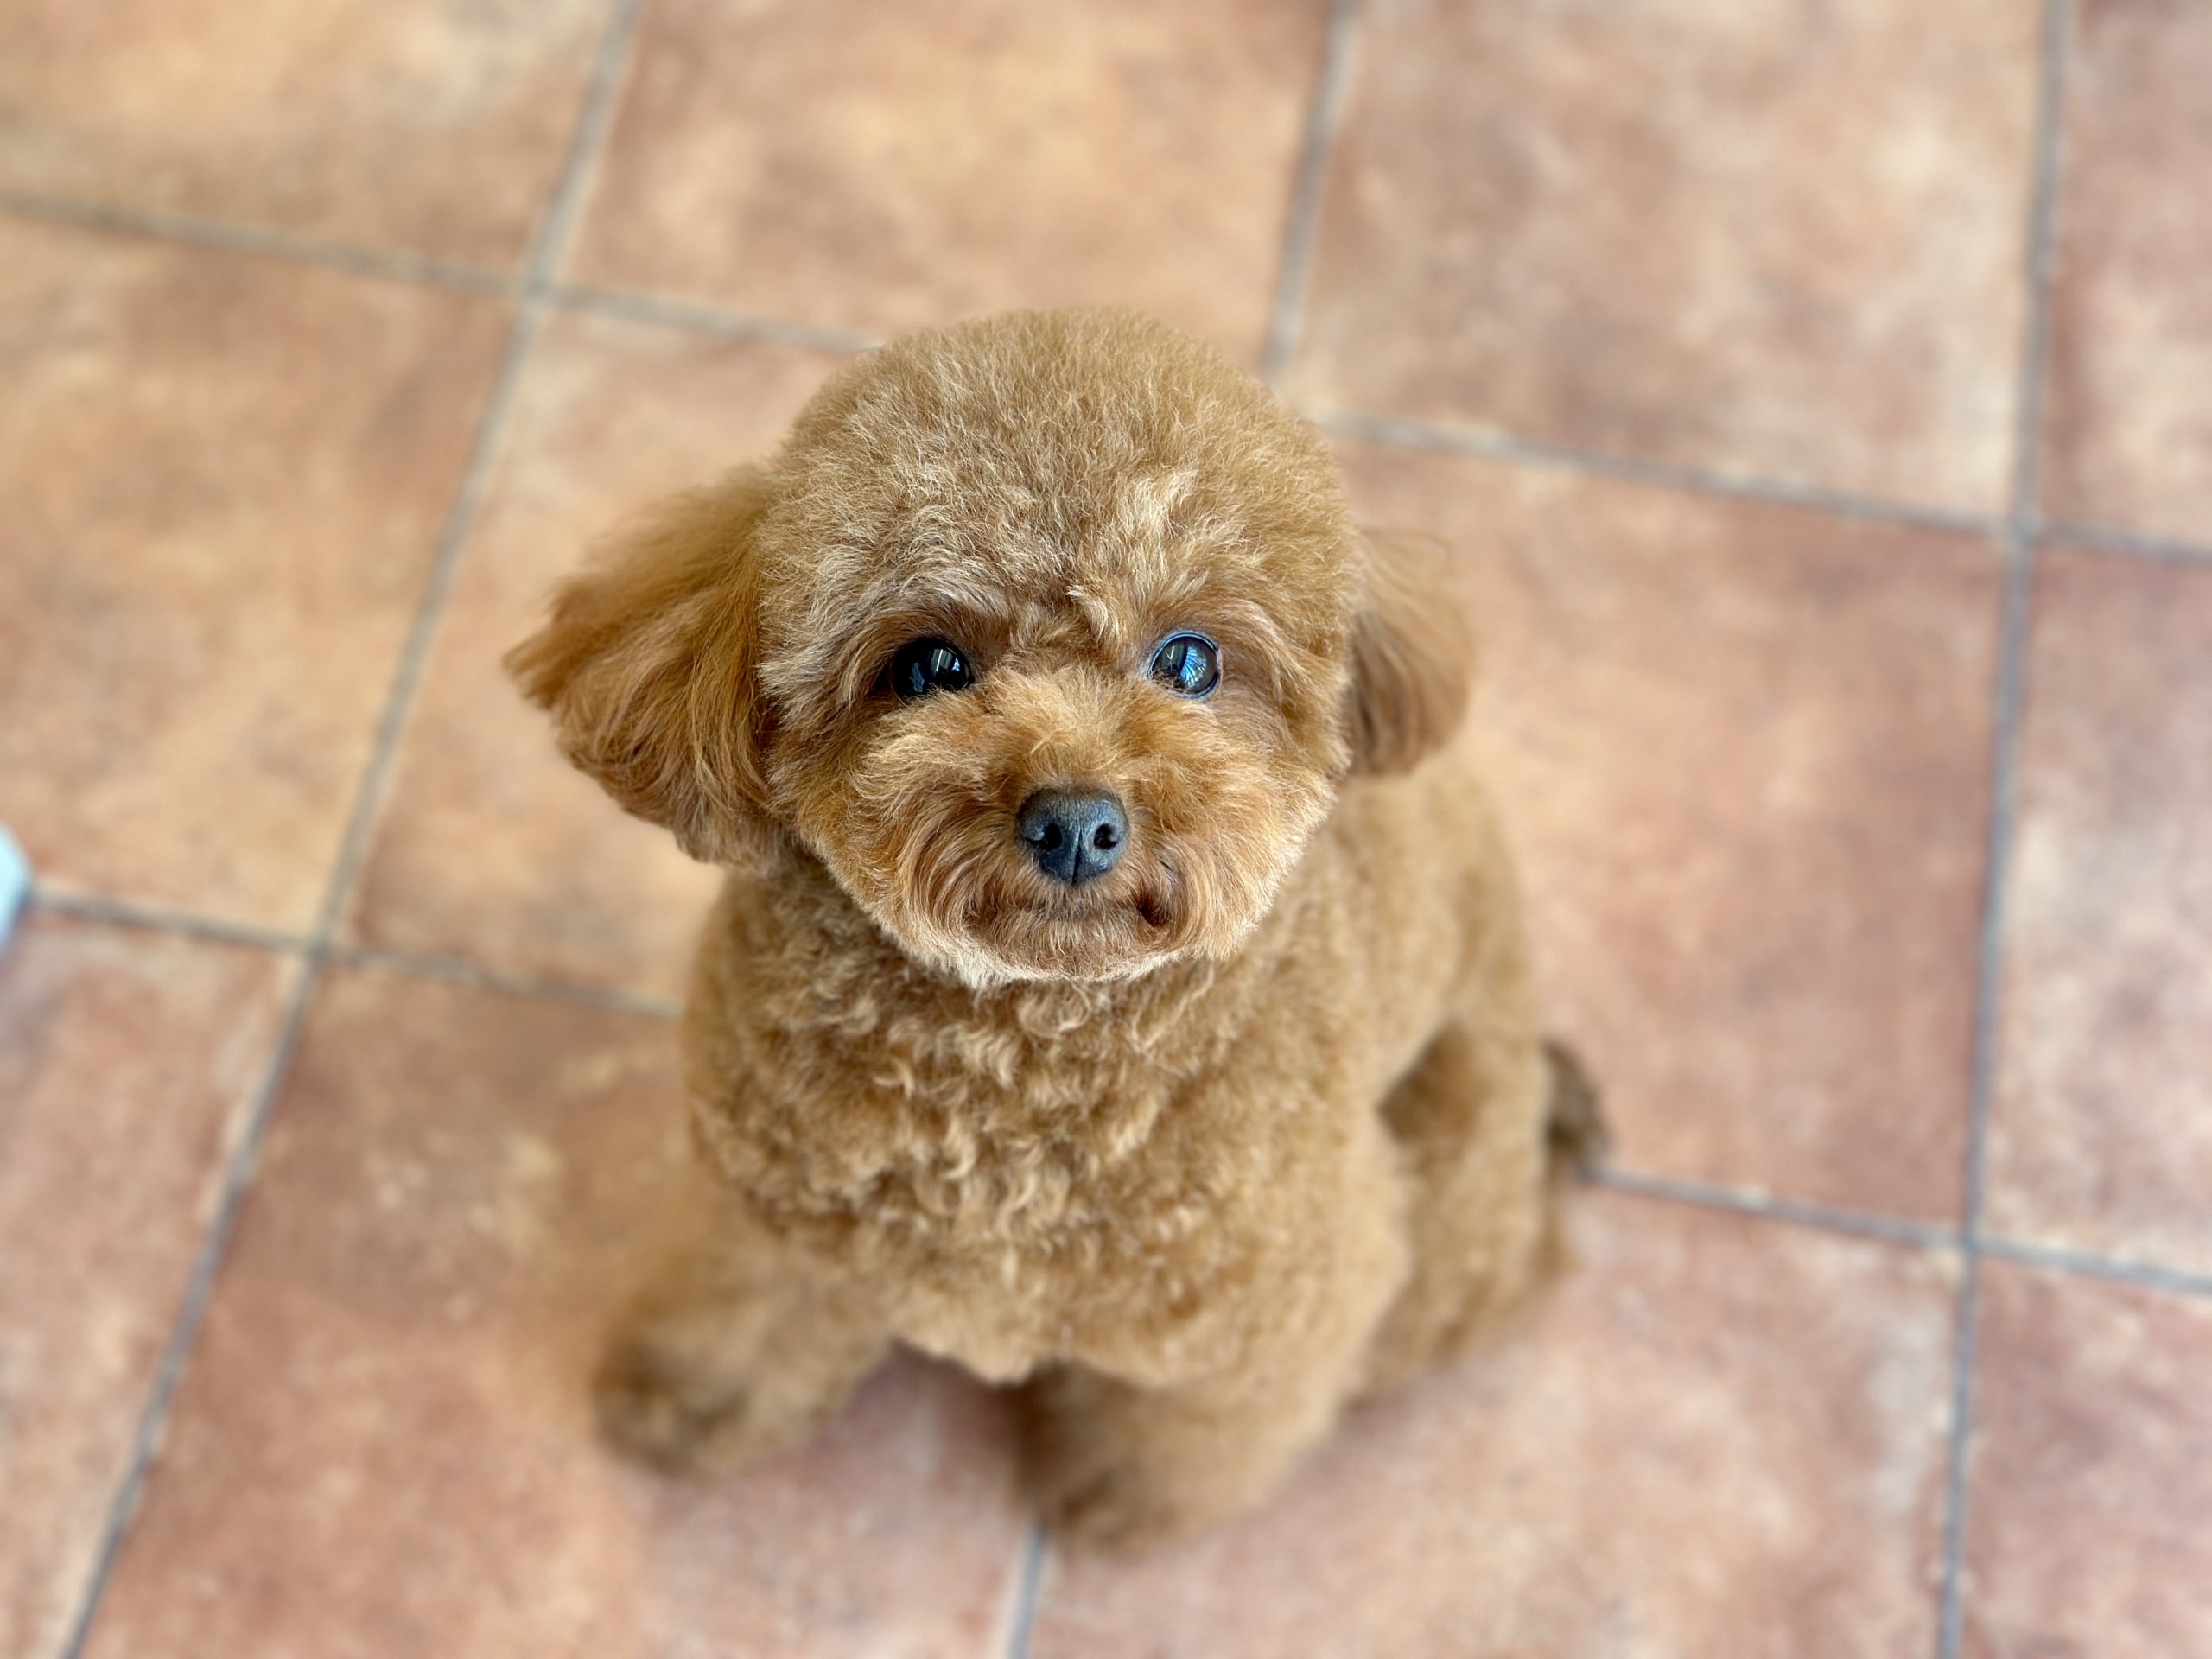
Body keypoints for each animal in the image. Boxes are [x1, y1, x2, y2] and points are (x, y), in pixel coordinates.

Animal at [509, 308, 1600, 1549]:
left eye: (1190, 659)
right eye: (929, 665)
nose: (1076, 823)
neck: (1026, 1054)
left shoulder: (1276, 1310)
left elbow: (1190, 1430)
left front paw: (1119, 1495)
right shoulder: (767, 1216)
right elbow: (738, 1310)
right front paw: (686, 1405)